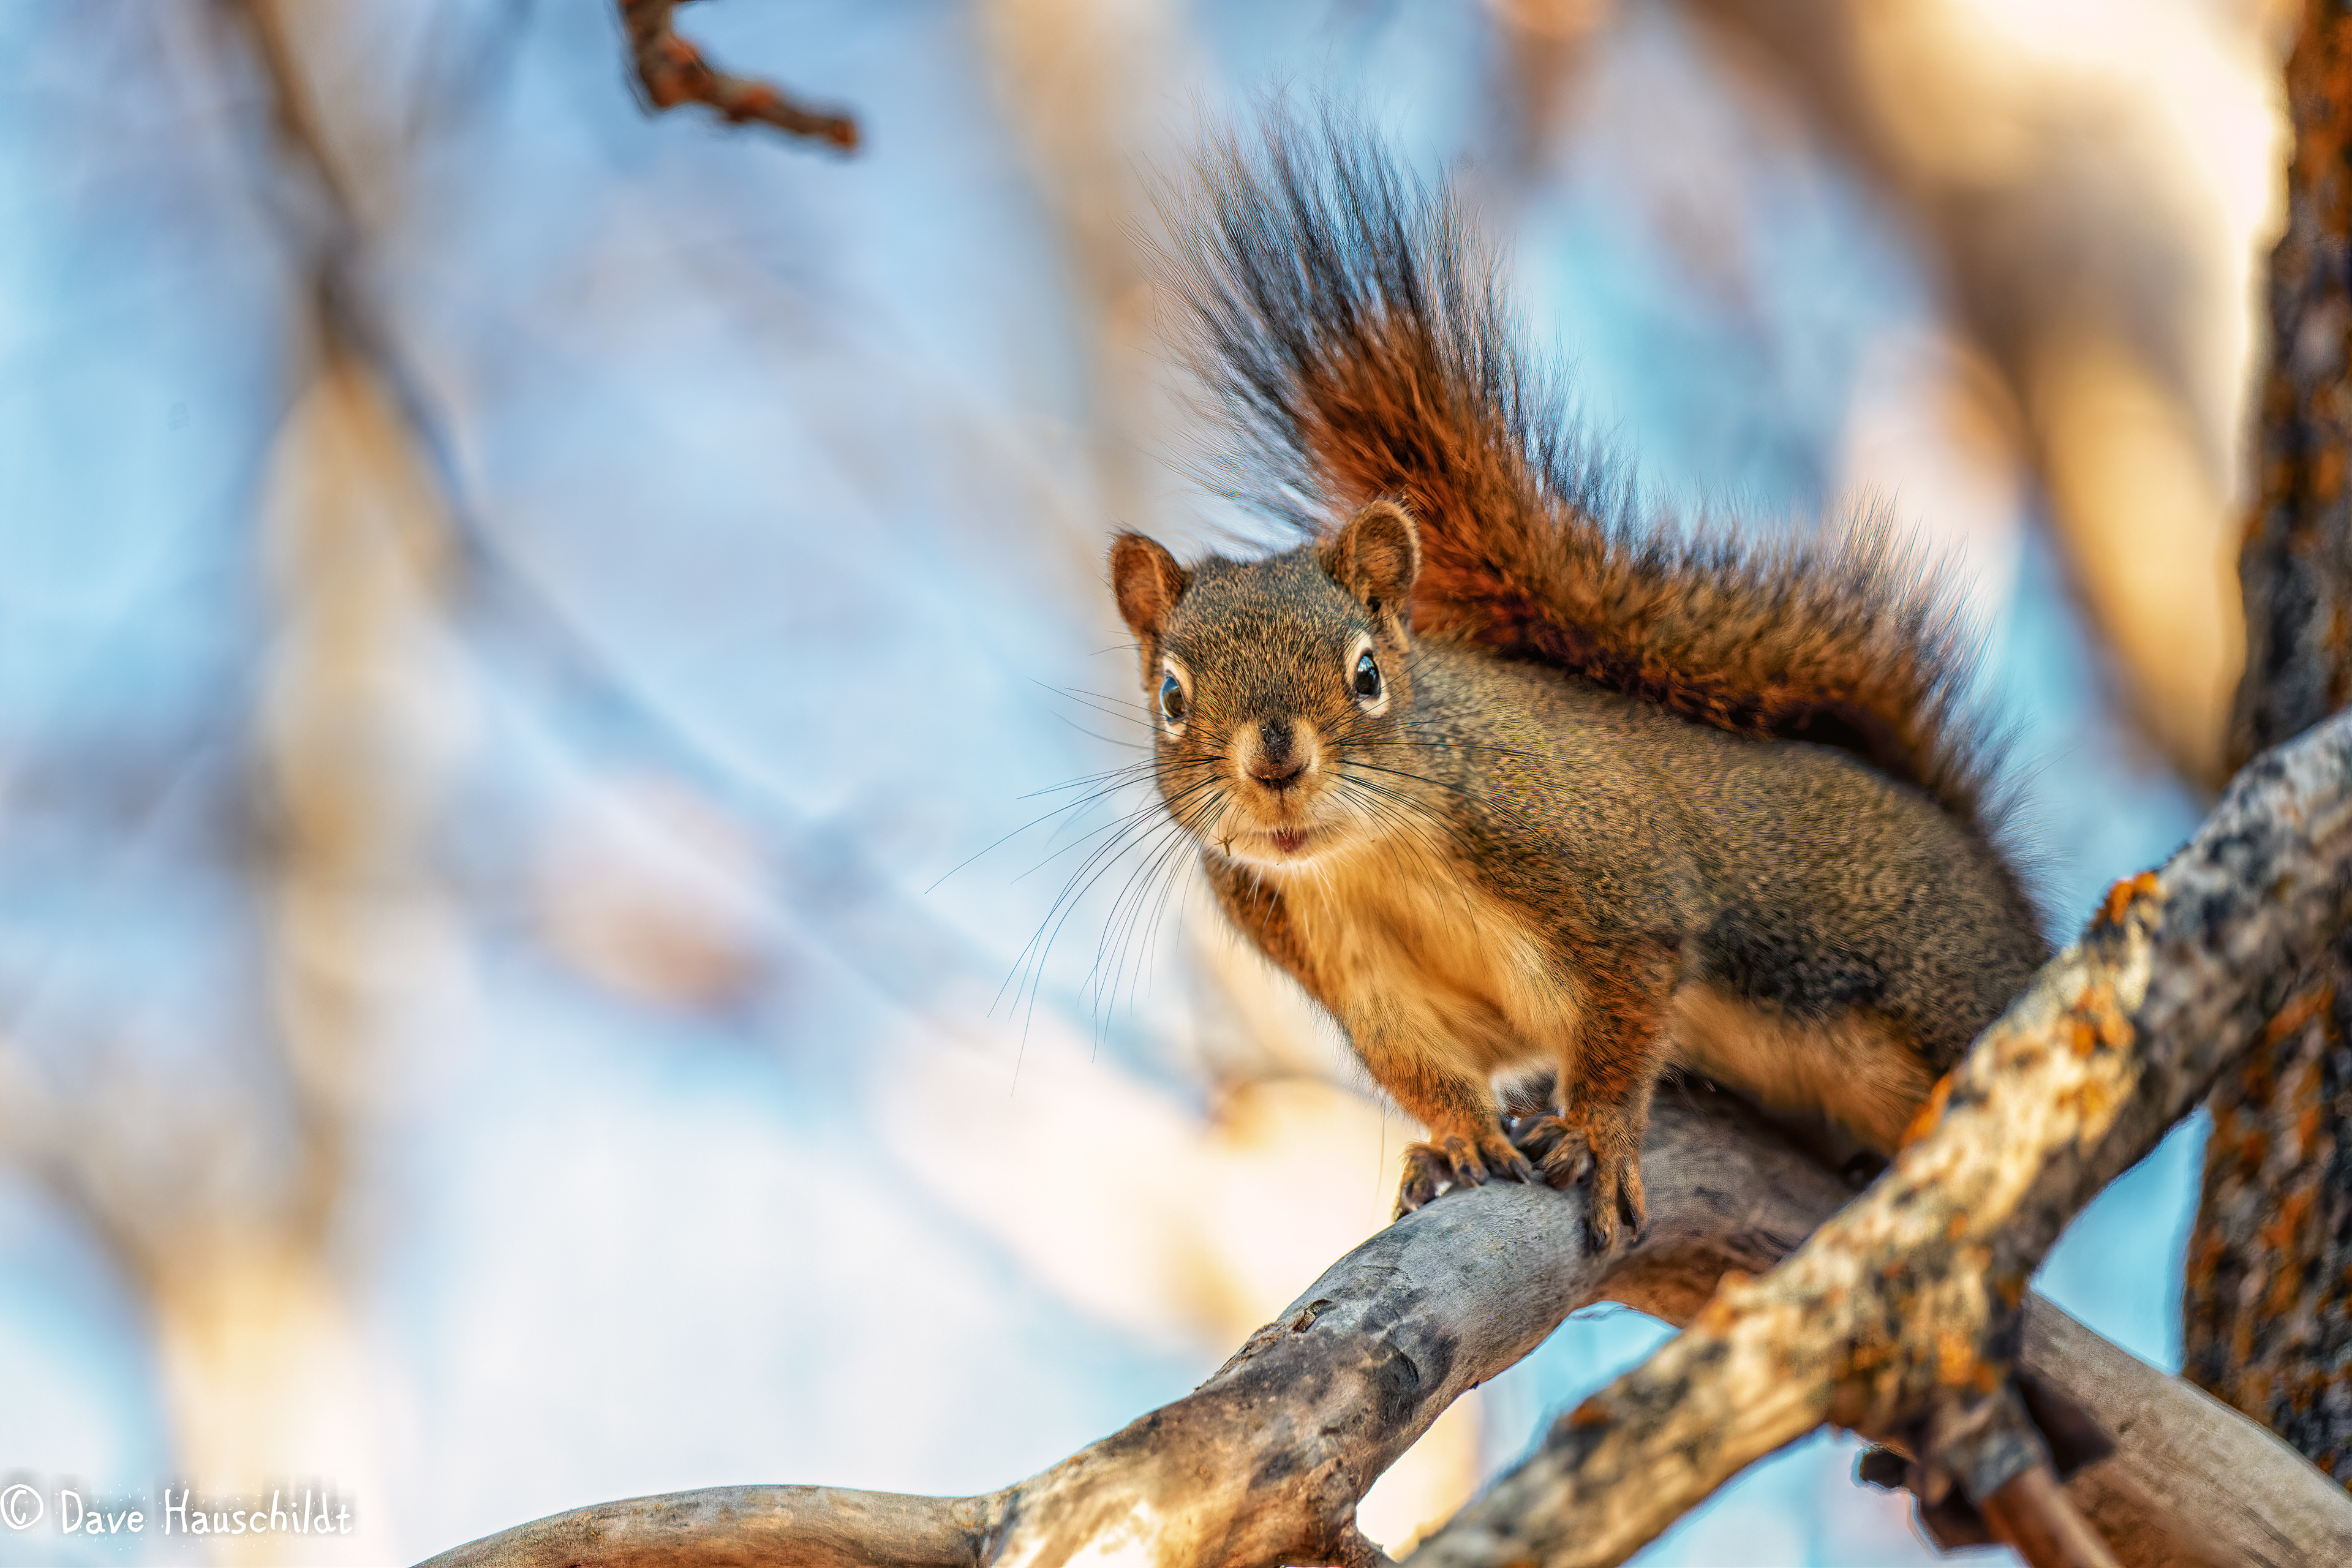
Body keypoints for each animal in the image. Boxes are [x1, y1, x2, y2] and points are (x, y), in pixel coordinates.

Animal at [1104, 121, 2049, 1248]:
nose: (1275, 764)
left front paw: (1596, 1132)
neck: (1369, 858)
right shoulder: (1351, 974)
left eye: (1368, 672)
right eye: (1170, 697)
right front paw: (1454, 1141)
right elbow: (1420, 1067)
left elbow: (1629, 1005)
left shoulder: (1603, 870)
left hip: (1927, 986)